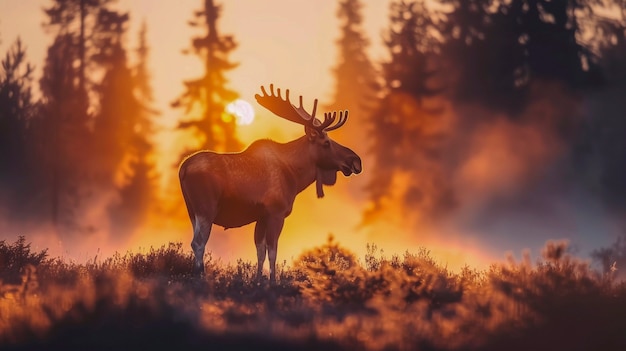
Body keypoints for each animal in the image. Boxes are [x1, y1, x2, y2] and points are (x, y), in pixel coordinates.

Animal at [178, 84, 360, 284]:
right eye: (326, 143)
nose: (355, 160)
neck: (295, 176)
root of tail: (183, 169)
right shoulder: (276, 213)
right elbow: (273, 251)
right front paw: (273, 282)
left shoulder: (261, 216)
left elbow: (260, 251)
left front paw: (258, 281)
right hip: (206, 209)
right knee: (198, 242)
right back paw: (200, 278)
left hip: (191, 212)